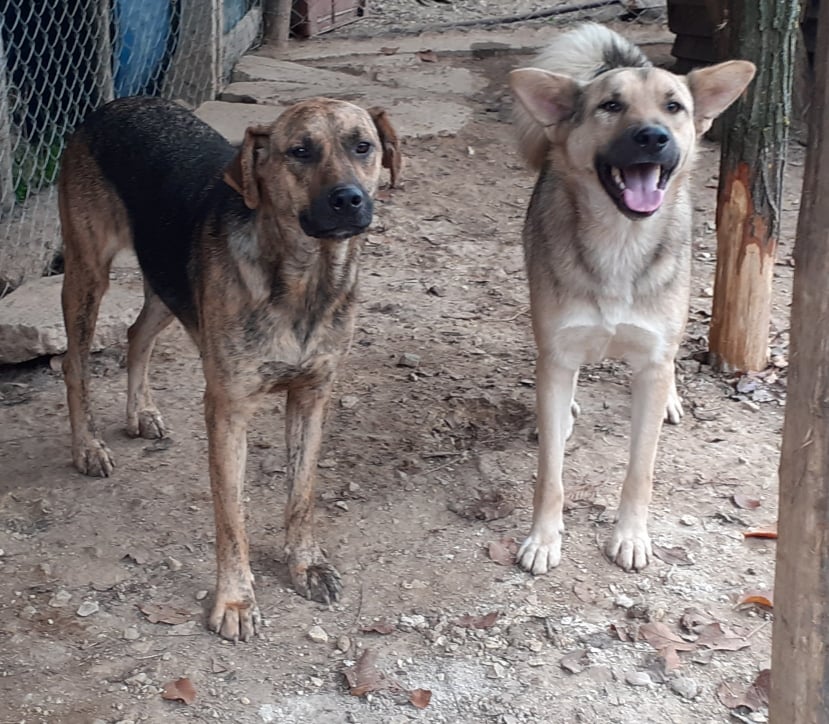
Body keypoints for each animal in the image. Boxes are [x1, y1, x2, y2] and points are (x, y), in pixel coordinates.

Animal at [56, 94, 400, 640]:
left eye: (362, 146)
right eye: (299, 151)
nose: (348, 199)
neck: (307, 280)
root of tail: (117, 102)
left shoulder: (312, 396)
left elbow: (302, 494)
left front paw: (305, 564)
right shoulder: (227, 409)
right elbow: (231, 516)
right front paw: (236, 600)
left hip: (168, 283)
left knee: (136, 334)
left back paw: (140, 413)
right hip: (88, 272)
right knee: (75, 363)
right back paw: (87, 447)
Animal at [508, 22, 752, 576]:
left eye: (673, 107)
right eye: (611, 106)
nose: (653, 137)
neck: (620, 241)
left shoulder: (653, 356)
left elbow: (641, 469)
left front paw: (632, 536)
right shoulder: (557, 352)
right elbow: (549, 474)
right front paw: (544, 538)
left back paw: (672, 399)